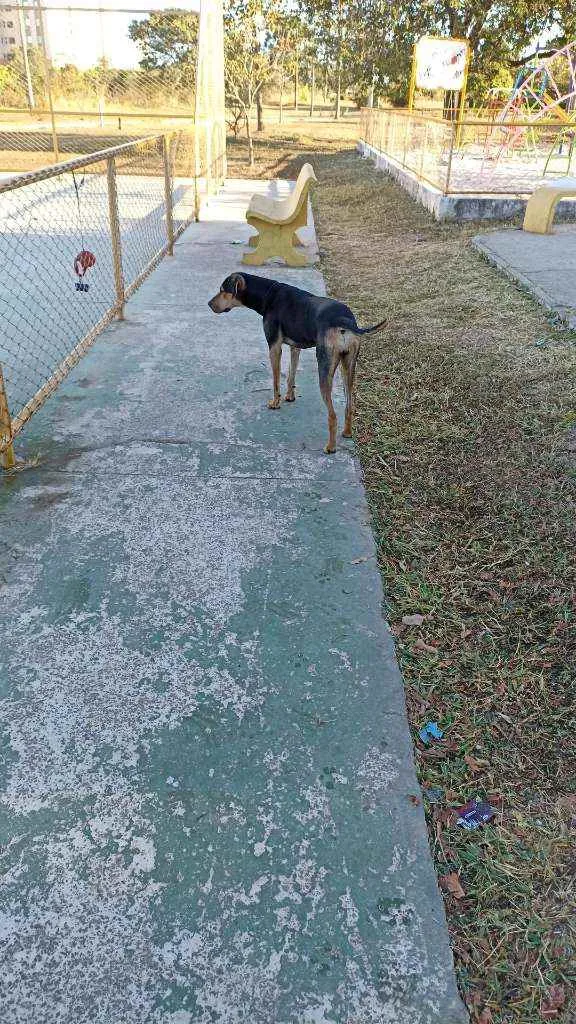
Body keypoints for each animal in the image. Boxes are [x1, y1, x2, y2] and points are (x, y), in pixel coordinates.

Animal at [207, 272, 385, 452]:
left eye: (223, 290)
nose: (208, 304)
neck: (268, 294)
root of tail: (345, 322)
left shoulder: (274, 347)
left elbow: (276, 380)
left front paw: (275, 403)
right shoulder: (295, 347)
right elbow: (291, 374)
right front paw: (290, 396)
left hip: (325, 368)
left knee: (332, 415)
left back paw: (330, 447)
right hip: (348, 368)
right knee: (349, 405)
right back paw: (347, 432)